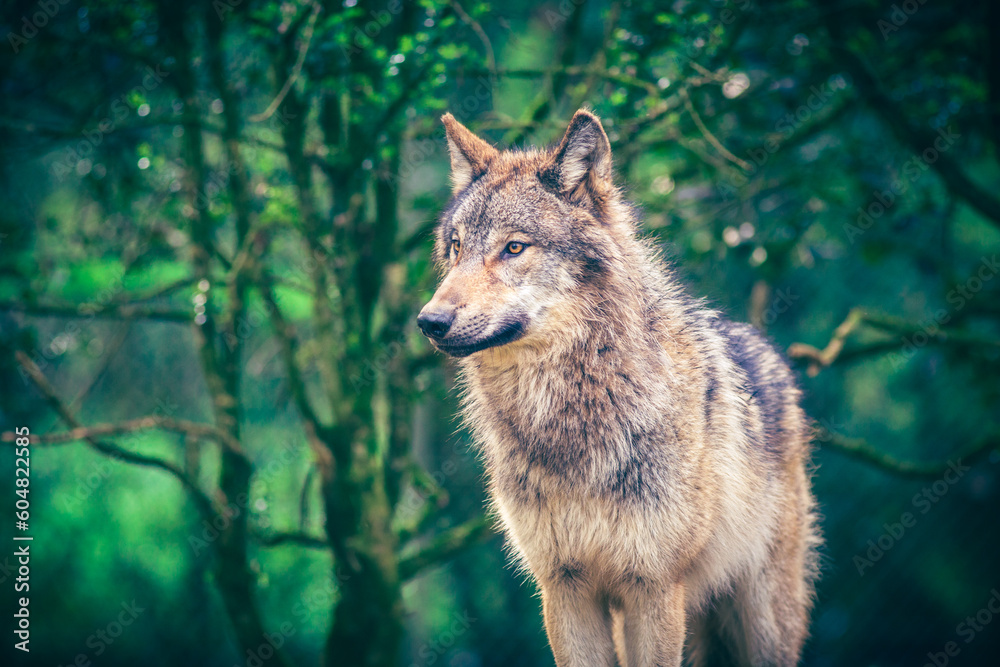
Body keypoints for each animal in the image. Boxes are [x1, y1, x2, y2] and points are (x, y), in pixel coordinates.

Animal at [417, 109, 821, 667]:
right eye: (456, 248)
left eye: (514, 247)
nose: (428, 322)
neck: (569, 422)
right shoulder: (564, 588)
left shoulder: (653, 587)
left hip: (762, 624)